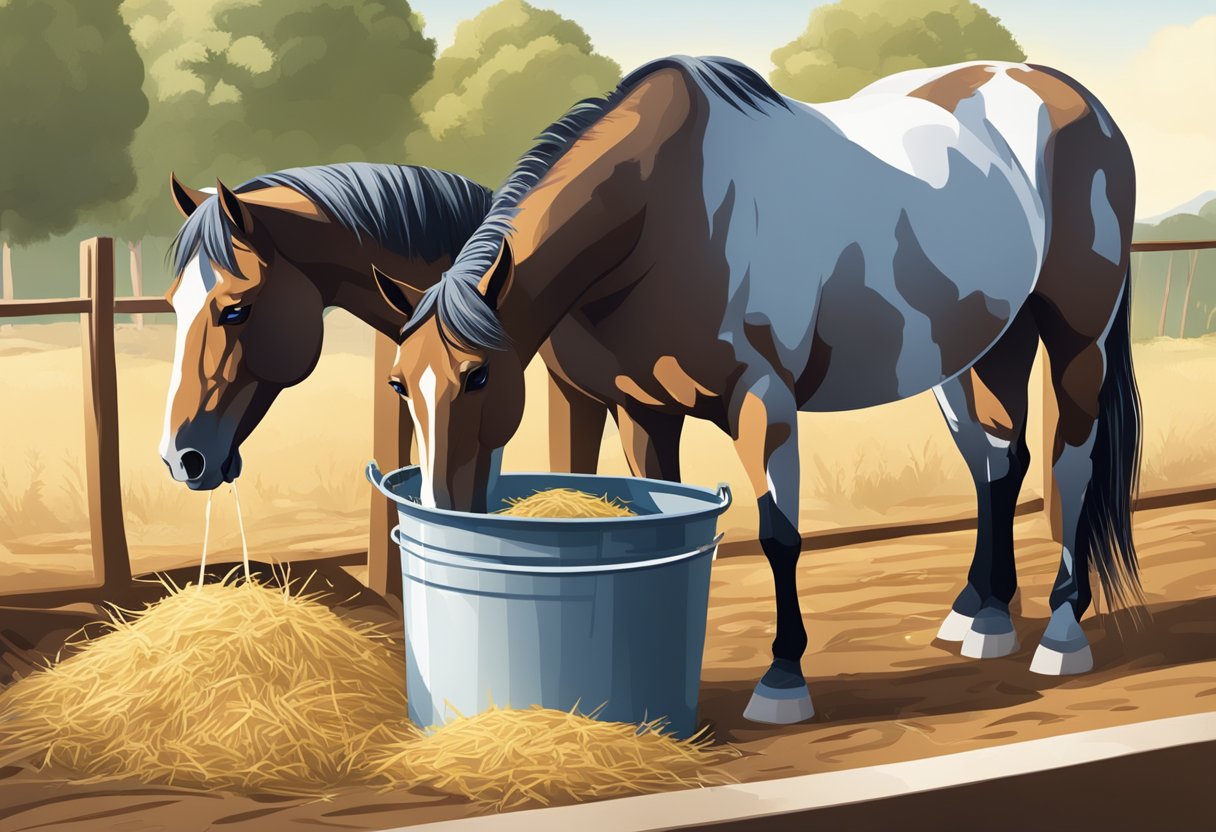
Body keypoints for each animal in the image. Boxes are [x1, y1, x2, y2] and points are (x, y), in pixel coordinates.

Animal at [374, 55, 1143, 724]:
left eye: (477, 376)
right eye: (399, 382)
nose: (440, 508)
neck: (664, 212)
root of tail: (1073, 98)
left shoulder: (763, 404)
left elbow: (780, 535)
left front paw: (782, 682)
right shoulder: (642, 412)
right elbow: (660, 503)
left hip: (1076, 340)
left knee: (1069, 465)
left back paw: (1062, 633)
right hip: (984, 351)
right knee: (997, 464)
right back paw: (982, 616)